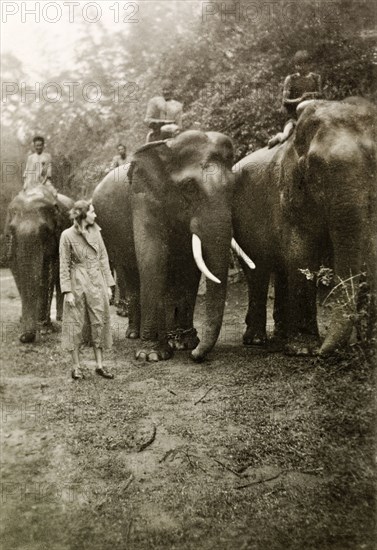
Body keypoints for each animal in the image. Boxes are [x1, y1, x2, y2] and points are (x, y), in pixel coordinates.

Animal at [4, 188, 72, 348]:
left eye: (45, 231)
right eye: (12, 230)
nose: (23, 337)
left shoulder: (60, 232)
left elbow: (48, 273)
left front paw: (45, 328)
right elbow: (16, 269)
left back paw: (60, 318)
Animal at [92, 129, 253, 362]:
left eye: (234, 188)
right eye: (189, 188)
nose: (196, 356)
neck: (168, 147)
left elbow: (189, 268)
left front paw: (185, 344)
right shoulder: (143, 199)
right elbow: (153, 260)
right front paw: (152, 355)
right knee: (130, 274)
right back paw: (134, 334)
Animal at [232, 98, 376, 358]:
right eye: (316, 167)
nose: (323, 353)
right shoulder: (289, 190)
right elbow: (301, 254)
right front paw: (304, 350)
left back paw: (281, 336)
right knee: (257, 270)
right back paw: (256, 340)